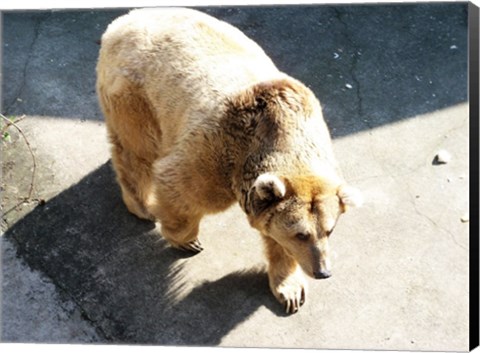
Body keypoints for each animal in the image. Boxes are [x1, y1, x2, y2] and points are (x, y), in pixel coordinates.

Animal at [96, 6, 360, 312]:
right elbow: (179, 186)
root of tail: (123, 21)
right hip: (137, 95)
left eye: (329, 230)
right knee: (137, 150)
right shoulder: (217, 153)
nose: (322, 272)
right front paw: (186, 240)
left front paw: (290, 291)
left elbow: (275, 241)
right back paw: (142, 206)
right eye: (301, 234)